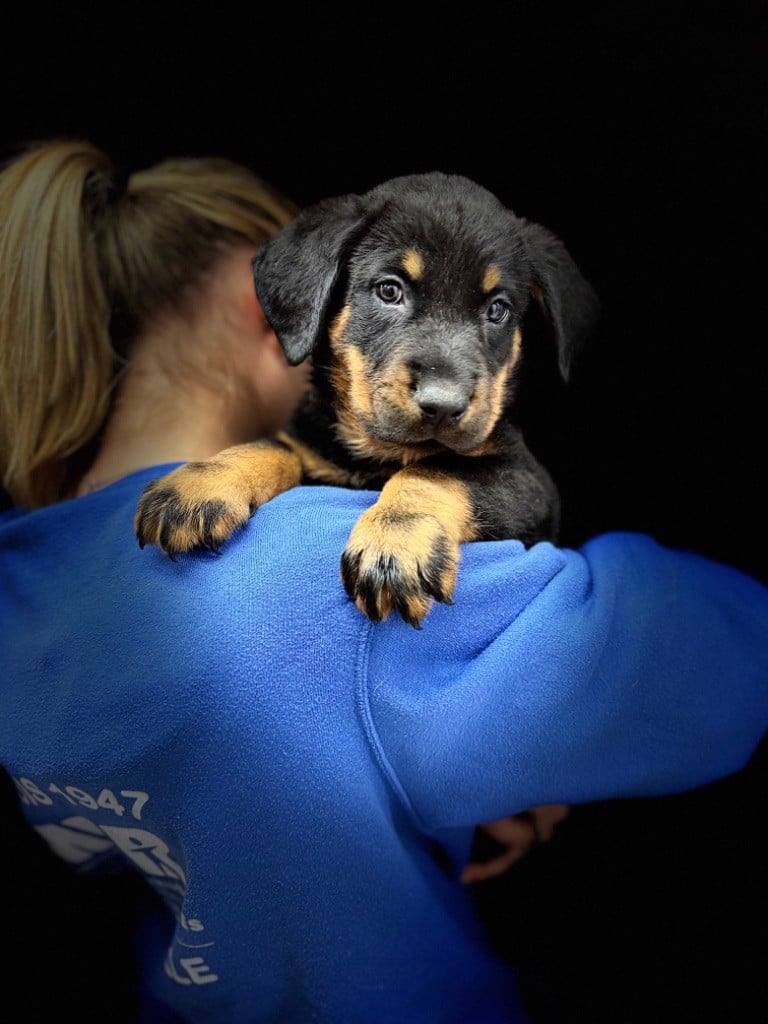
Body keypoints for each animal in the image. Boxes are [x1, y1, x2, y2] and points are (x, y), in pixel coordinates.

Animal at [134, 172, 599, 628]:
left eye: (498, 310)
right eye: (389, 291)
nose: (443, 404)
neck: (383, 453)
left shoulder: (530, 482)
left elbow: (438, 470)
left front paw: (395, 542)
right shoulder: (314, 448)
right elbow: (271, 445)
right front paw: (201, 483)